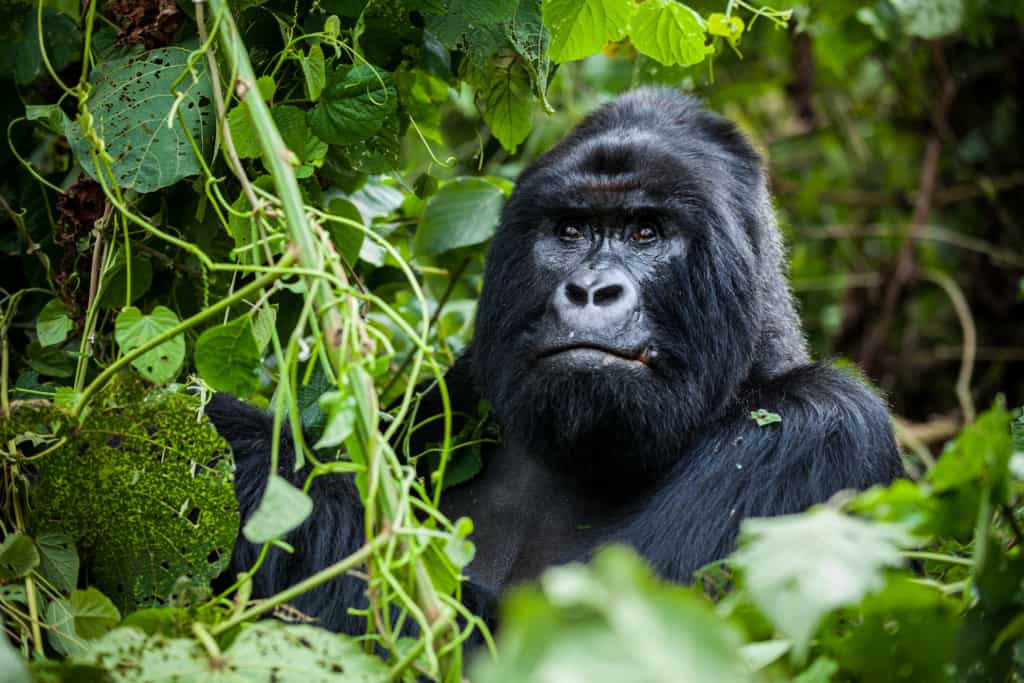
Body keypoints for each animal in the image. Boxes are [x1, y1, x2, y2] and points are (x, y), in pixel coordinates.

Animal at [207, 88, 905, 638]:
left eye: (645, 232)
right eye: (570, 230)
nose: (591, 291)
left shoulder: (821, 430)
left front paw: (238, 441)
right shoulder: (459, 391)